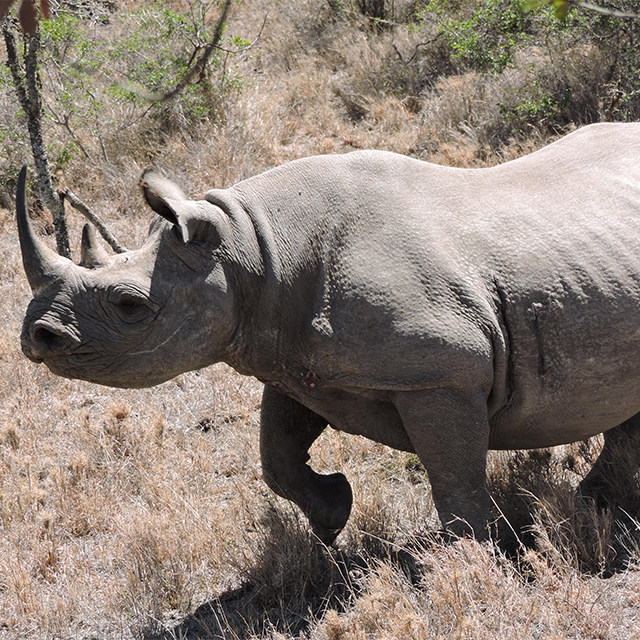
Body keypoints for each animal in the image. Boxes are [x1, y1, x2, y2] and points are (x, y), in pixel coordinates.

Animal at [17, 122, 640, 544]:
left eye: (129, 305)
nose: (36, 337)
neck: (252, 248)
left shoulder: (440, 373)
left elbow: (454, 477)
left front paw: (477, 557)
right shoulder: (289, 359)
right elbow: (276, 456)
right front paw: (332, 514)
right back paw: (599, 506)